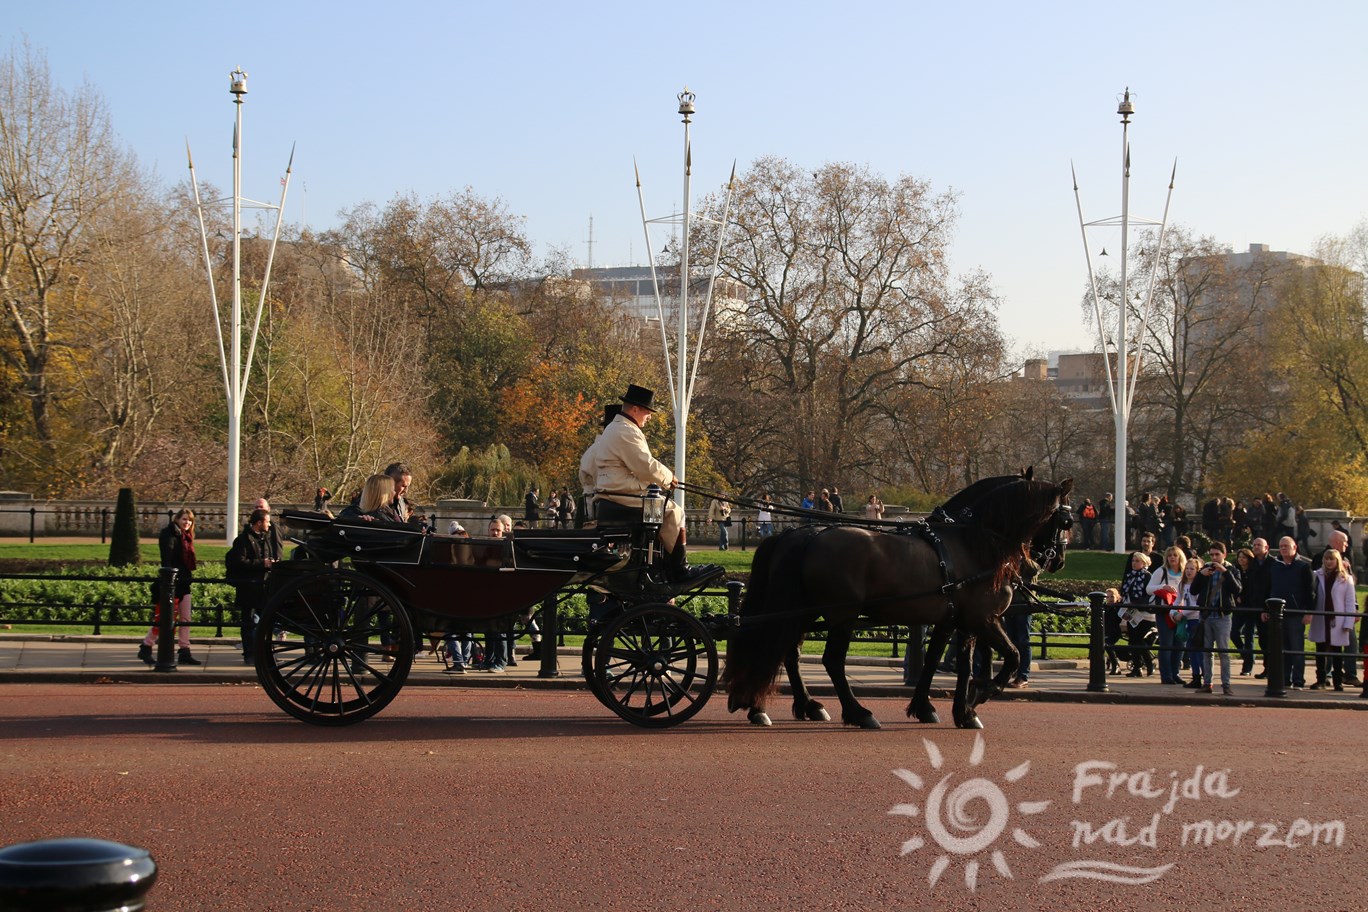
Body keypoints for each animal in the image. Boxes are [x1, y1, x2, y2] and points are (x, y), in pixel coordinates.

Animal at [722, 475, 1072, 732]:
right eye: (1065, 520)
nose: (1056, 560)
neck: (972, 543)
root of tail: (802, 535)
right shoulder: (983, 619)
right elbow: (1012, 656)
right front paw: (980, 696)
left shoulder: (955, 621)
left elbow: (946, 663)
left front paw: (944, 709)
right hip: (842, 615)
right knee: (829, 660)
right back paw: (858, 713)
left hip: (805, 613)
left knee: (785, 651)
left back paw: (790, 705)